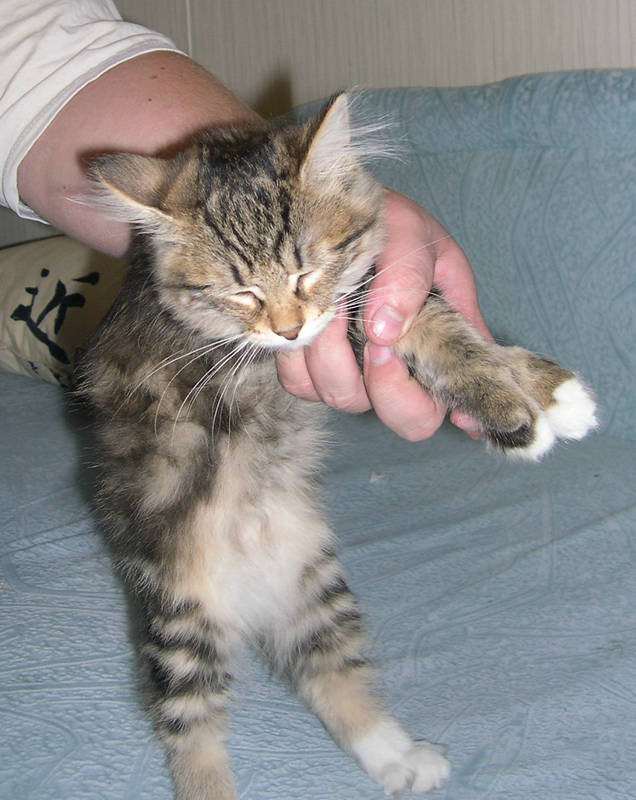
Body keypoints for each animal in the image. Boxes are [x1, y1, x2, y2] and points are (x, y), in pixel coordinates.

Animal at [77, 93, 597, 799]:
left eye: (306, 269)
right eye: (241, 292)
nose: (289, 329)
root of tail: (251, 598)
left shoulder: (363, 294)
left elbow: (434, 317)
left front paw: (549, 390)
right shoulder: (234, 359)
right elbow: (402, 333)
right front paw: (510, 410)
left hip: (316, 590)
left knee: (332, 677)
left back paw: (400, 758)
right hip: (182, 622)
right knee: (191, 731)